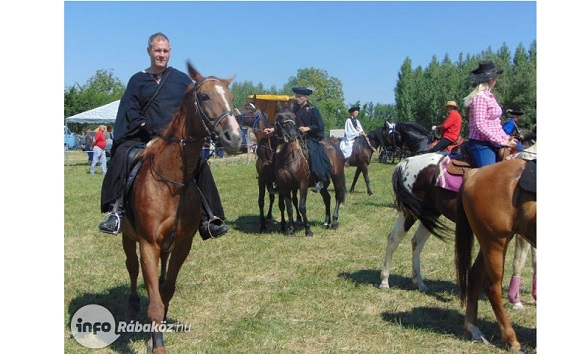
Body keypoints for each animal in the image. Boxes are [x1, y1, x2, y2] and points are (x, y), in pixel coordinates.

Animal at [122, 62, 242, 352]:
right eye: (206, 96)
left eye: (231, 97)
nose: (234, 137)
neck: (171, 182)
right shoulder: (147, 244)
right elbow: (153, 300)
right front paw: (158, 345)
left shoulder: (183, 243)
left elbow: (166, 291)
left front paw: (157, 332)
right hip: (127, 236)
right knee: (131, 267)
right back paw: (131, 307)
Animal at [454, 156, 540, 352]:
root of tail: (475, 173)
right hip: (496, 242)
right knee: (492, 287)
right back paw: (511, 339)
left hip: (488, 242)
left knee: (475, 275)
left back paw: (474, 329)